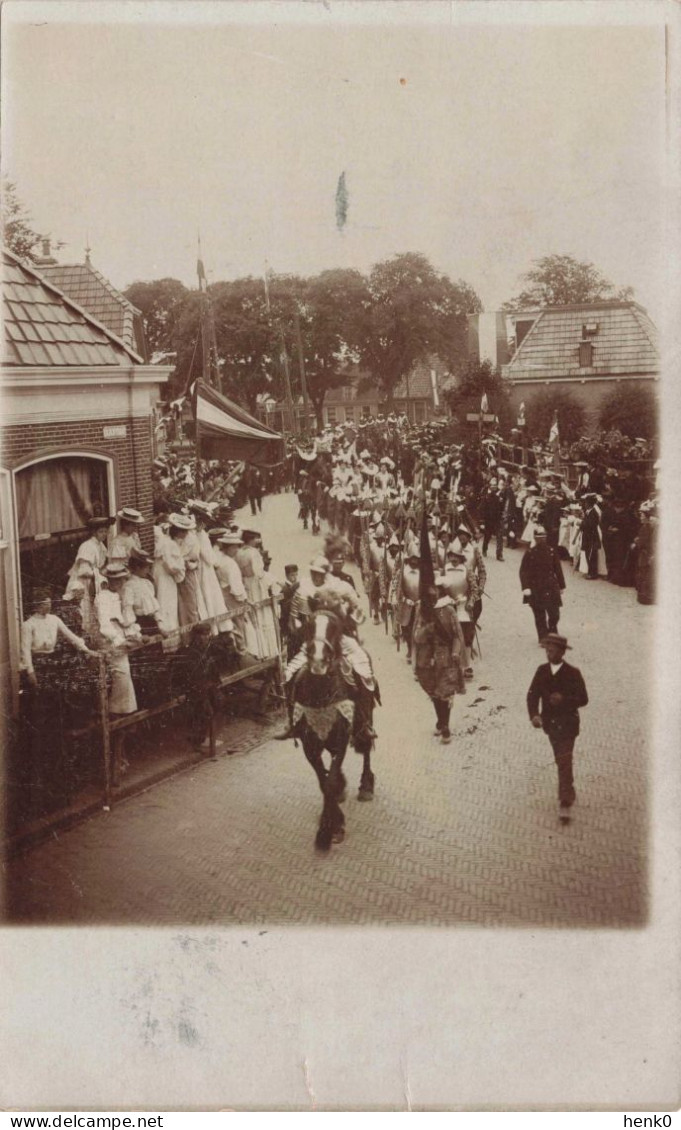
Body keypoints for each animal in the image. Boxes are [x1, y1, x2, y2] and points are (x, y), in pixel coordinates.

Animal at [287, 610, 379, 849]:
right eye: (308, 626)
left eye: (335, 627)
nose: (319, 660)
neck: (320, 693)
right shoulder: (309, 745)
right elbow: (324, 781)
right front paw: (332, 822)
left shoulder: (341, 739)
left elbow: (329, 781)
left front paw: (329, 831)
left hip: (365, 719)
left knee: (366, 747)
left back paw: (366, 786)